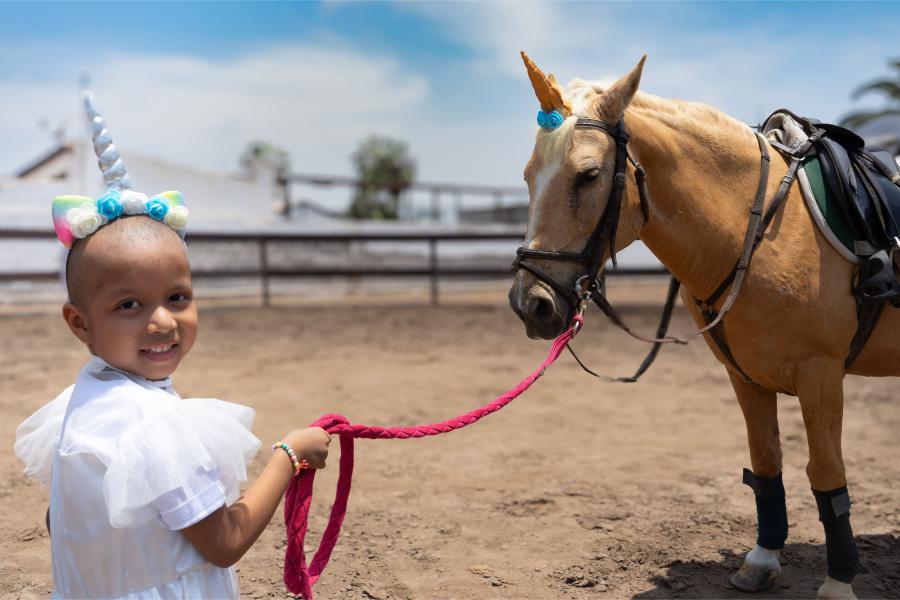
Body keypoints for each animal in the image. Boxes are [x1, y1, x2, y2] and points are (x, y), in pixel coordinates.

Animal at [510, 52, 896, 600]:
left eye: (588, 175)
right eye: (528, 176)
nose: (532, 304)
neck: (762, 230)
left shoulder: (821, 375)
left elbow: (826, 475)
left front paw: (839, 581)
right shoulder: (746, 376)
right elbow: (766, 463)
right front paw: (761, 560)